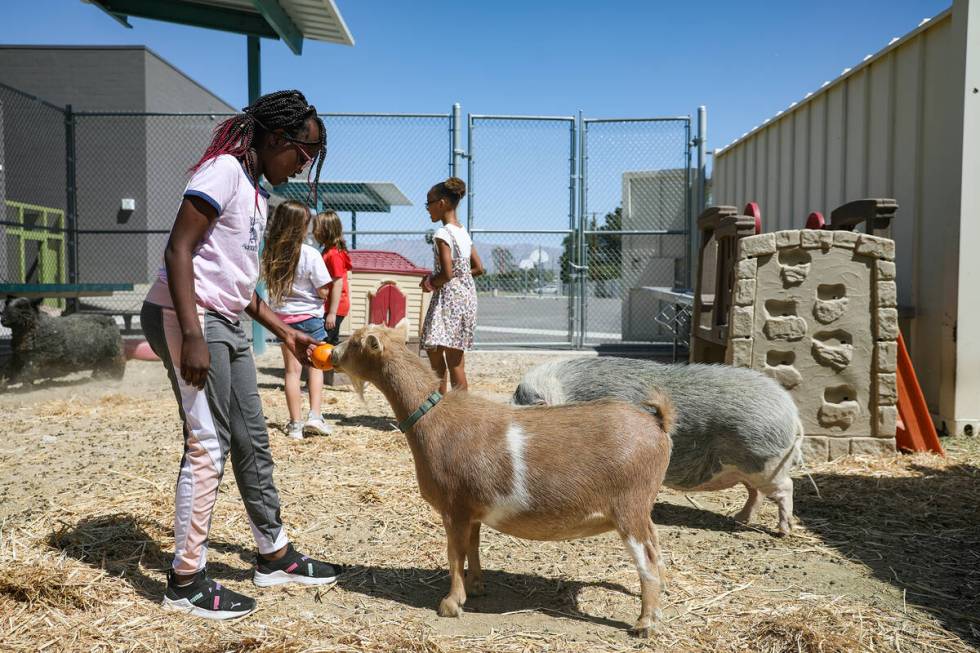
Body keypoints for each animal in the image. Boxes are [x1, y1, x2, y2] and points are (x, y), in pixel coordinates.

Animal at [330, 324, 672, 636]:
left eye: (357, 342)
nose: (332, 353)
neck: (432, 417)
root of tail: (657, 424)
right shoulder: (472, 510)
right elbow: (472, 546)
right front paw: (476, 586)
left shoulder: (454, 507)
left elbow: (454, 553)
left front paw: (451, 603)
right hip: (641, 509)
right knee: (657, 551)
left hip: (629, 507)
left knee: (647, 560)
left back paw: (644, 624)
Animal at [512, 356, 804, 536]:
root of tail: (791, 413)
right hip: (746, 468)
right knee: (756, 493)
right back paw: (739, 519)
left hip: (765, 462)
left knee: (786, 488)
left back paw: (782, 532)